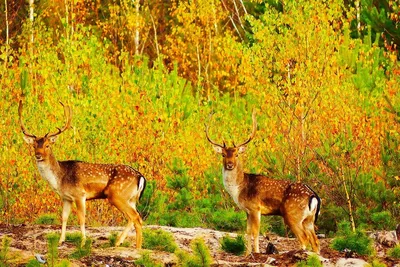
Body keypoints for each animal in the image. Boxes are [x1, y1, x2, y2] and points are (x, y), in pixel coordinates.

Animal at [18, 101, 147, 250]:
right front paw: (61, 241)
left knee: (135, 217)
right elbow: (64, 217)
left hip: (117, 195)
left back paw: (132, 247)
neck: (59, 179)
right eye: (34, 145)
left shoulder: (80, 195)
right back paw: (123, 243)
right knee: (134, 218)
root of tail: (140, 177)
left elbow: (81, 219)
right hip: (131, 198)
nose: (38, 155)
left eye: (47, 145)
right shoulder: (66, 197)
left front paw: (83, 242)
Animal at [206, 112, 322, 256]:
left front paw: (256, 252)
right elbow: (248, 232)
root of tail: (313, 196)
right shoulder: (247, 211)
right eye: (223, 154)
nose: (230, 164)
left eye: (237, 154)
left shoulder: (255, 207)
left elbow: (255, 232)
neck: (239, 189)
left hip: (292, 214)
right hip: (309, 219)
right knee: (315, 241)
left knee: (304, 238)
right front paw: (247, 254)